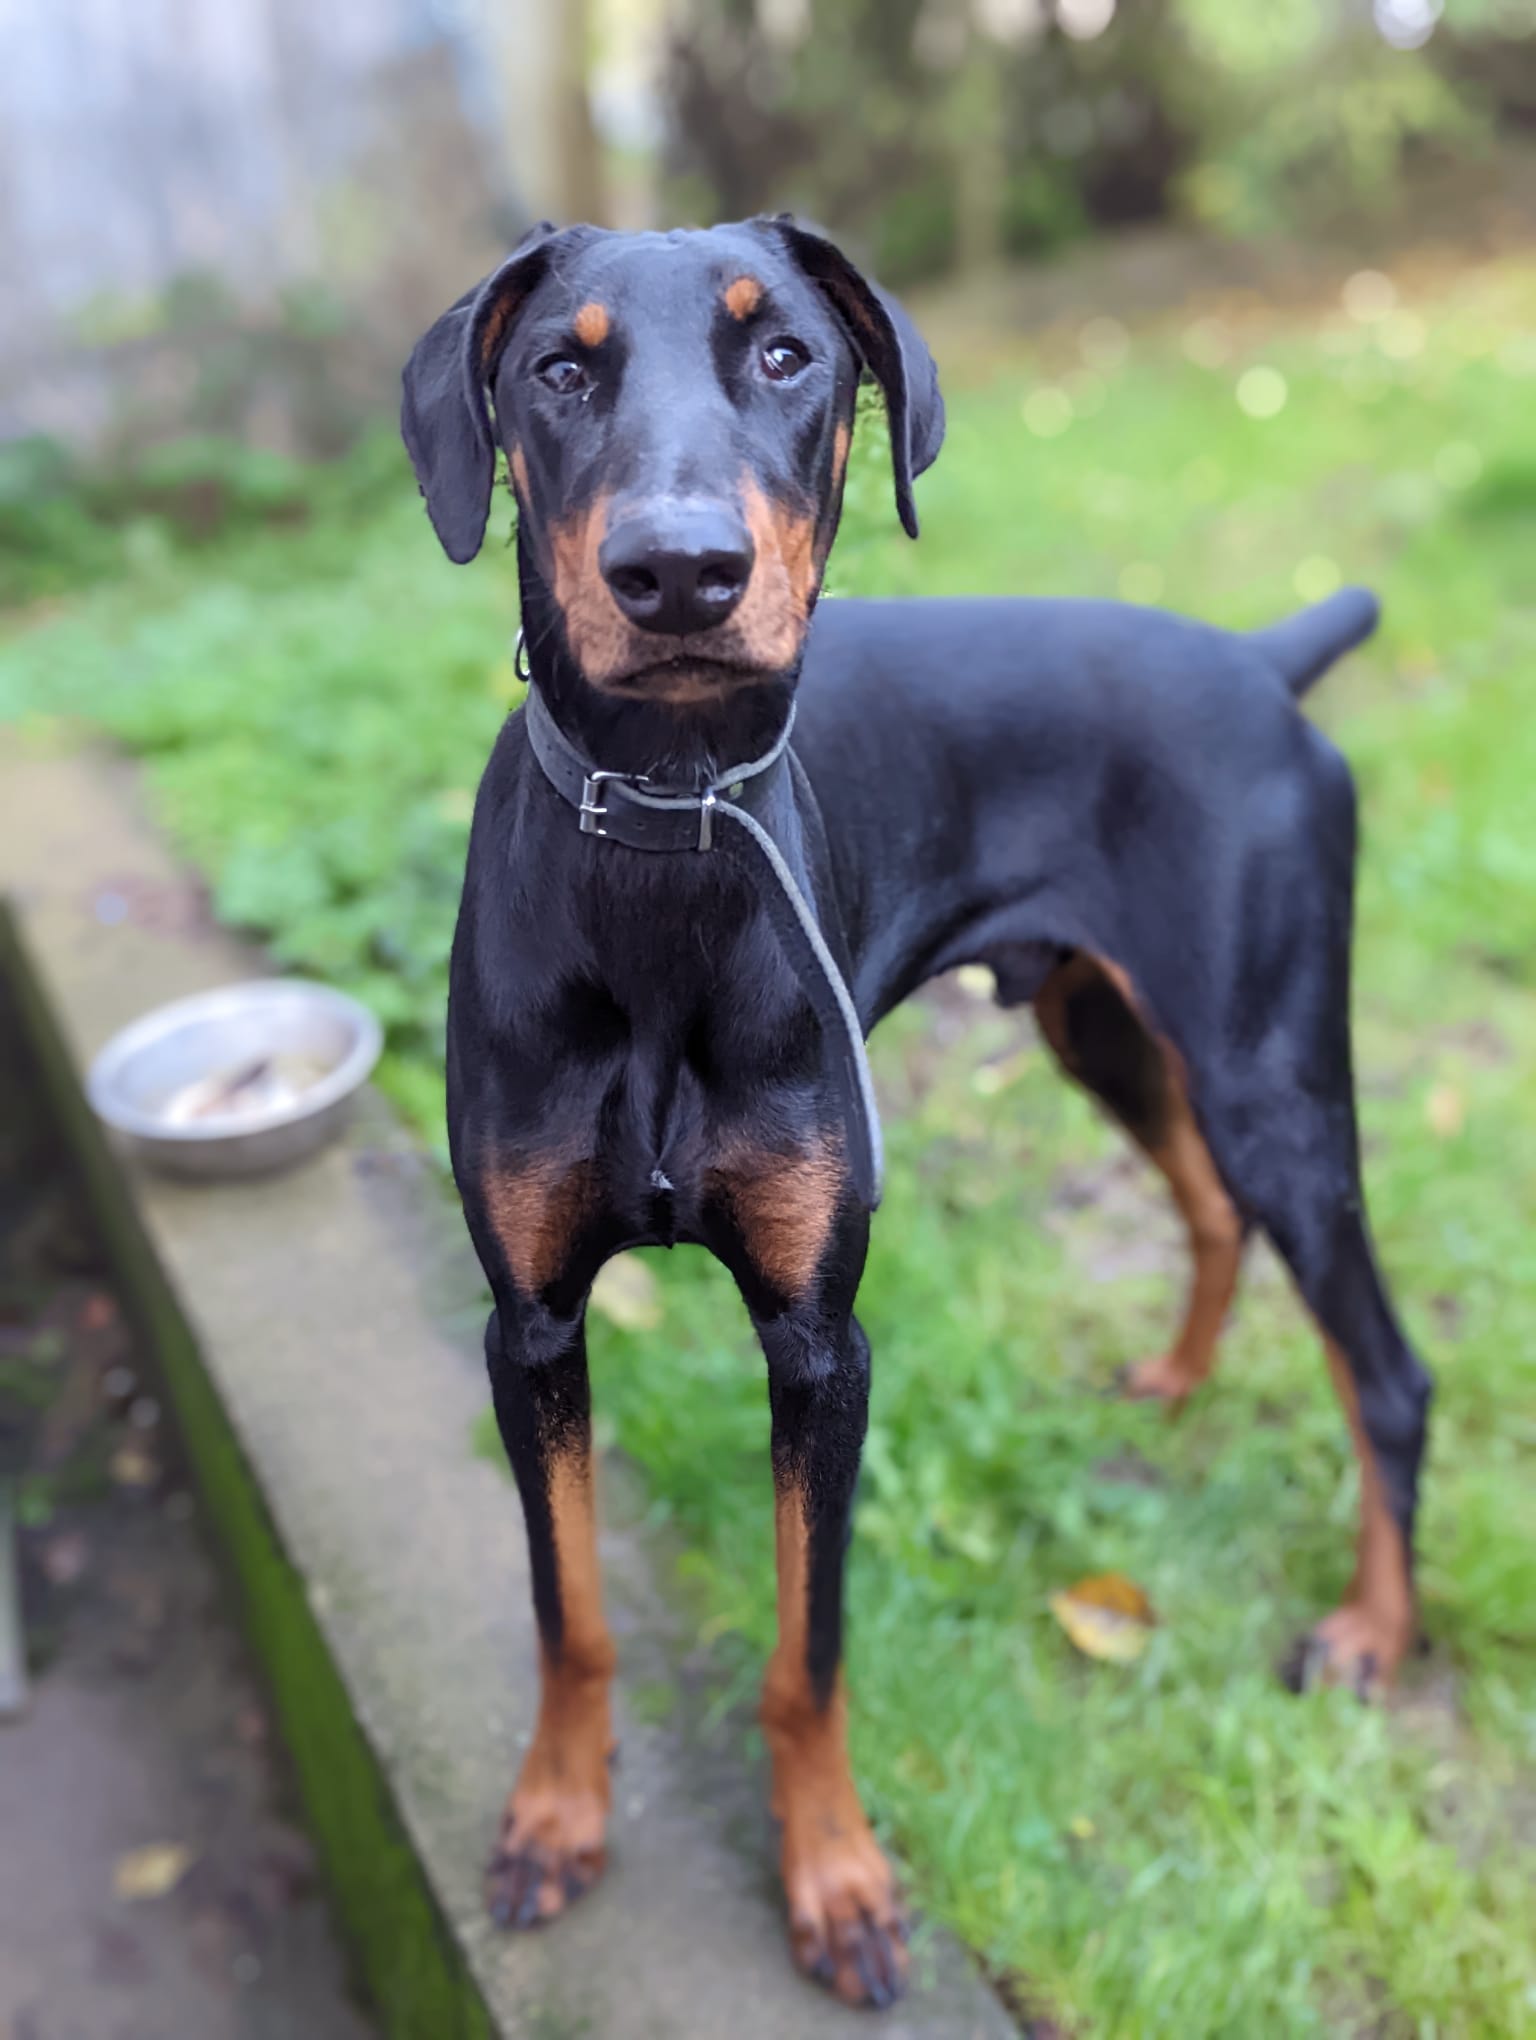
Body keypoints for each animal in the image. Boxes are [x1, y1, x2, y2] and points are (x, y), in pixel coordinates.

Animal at [401, 217, 1433, 2010]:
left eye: (788, 355)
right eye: (557, 369)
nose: (678, 575)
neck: (671, 840)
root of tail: (1258, 660)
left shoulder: (824, 1345)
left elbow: (808, 1653)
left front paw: (837, 1884)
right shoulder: (527, 1324)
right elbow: (568, 1610)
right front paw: (555, 1816)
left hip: (1272, 1078)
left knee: (1385, 1370)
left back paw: (1369, 1635)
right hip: (1105, 1024)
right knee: (1207, 1208)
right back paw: (1171, 1382)